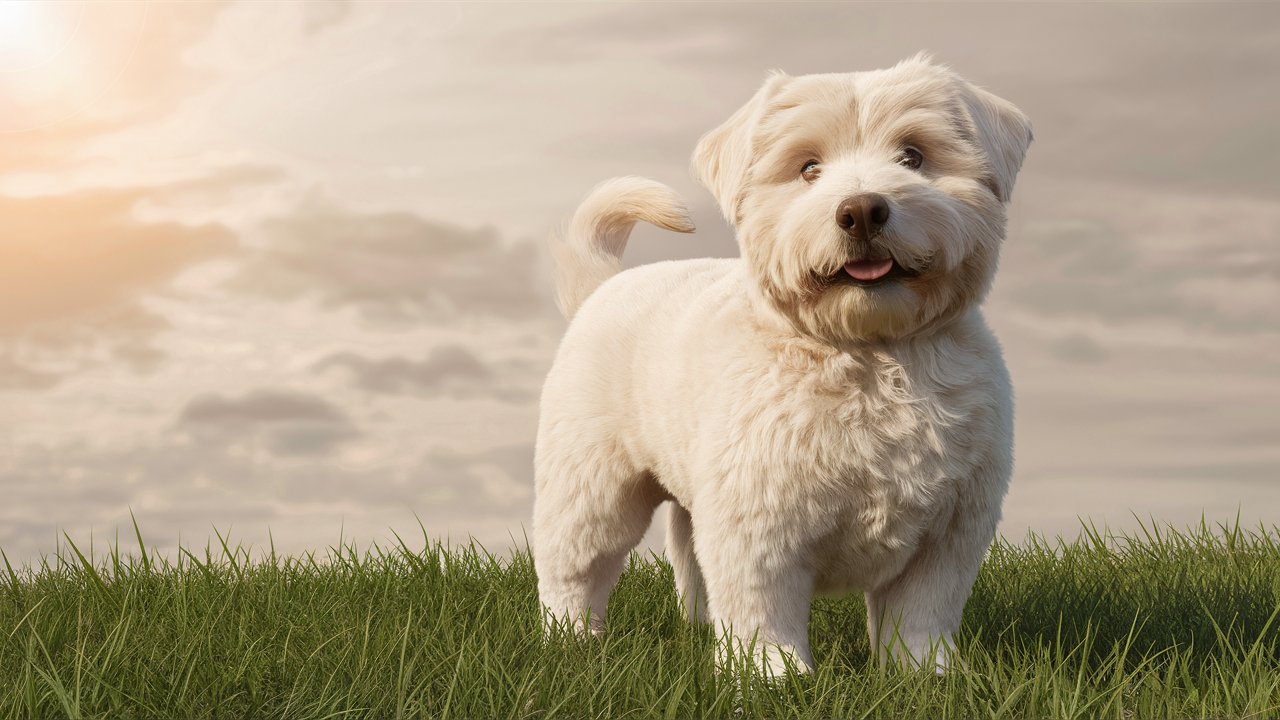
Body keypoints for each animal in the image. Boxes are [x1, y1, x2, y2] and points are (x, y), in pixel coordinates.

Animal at [529, 54, 1029, 671]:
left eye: (913, 156)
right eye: (808, 167)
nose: (862, 211)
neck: (869, 356)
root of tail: (603, 285)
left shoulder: (949, 534)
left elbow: (920, 617)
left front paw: (929, 675)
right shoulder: (758, 521)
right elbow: (761, 609)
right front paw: (772, 674)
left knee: (689, 560)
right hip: (592, 484)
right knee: (573, 569)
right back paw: (572, 643)